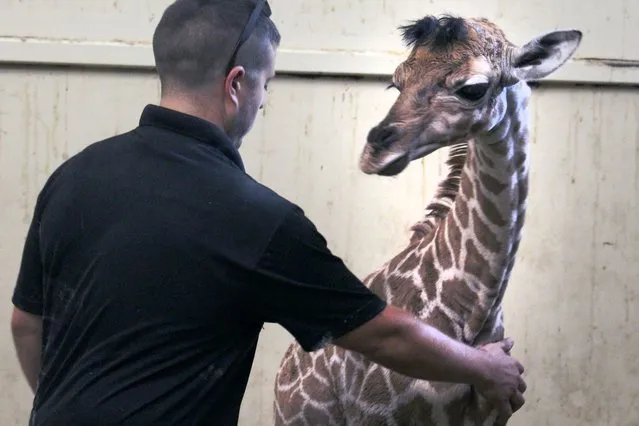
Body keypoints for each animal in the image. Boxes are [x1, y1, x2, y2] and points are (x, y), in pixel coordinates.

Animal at [272, 14, 584, 426]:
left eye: (473, 89)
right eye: (396, 82)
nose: (375, 151)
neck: (476, 307)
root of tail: (282, 372)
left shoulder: (494, 412)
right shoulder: (376, 416)